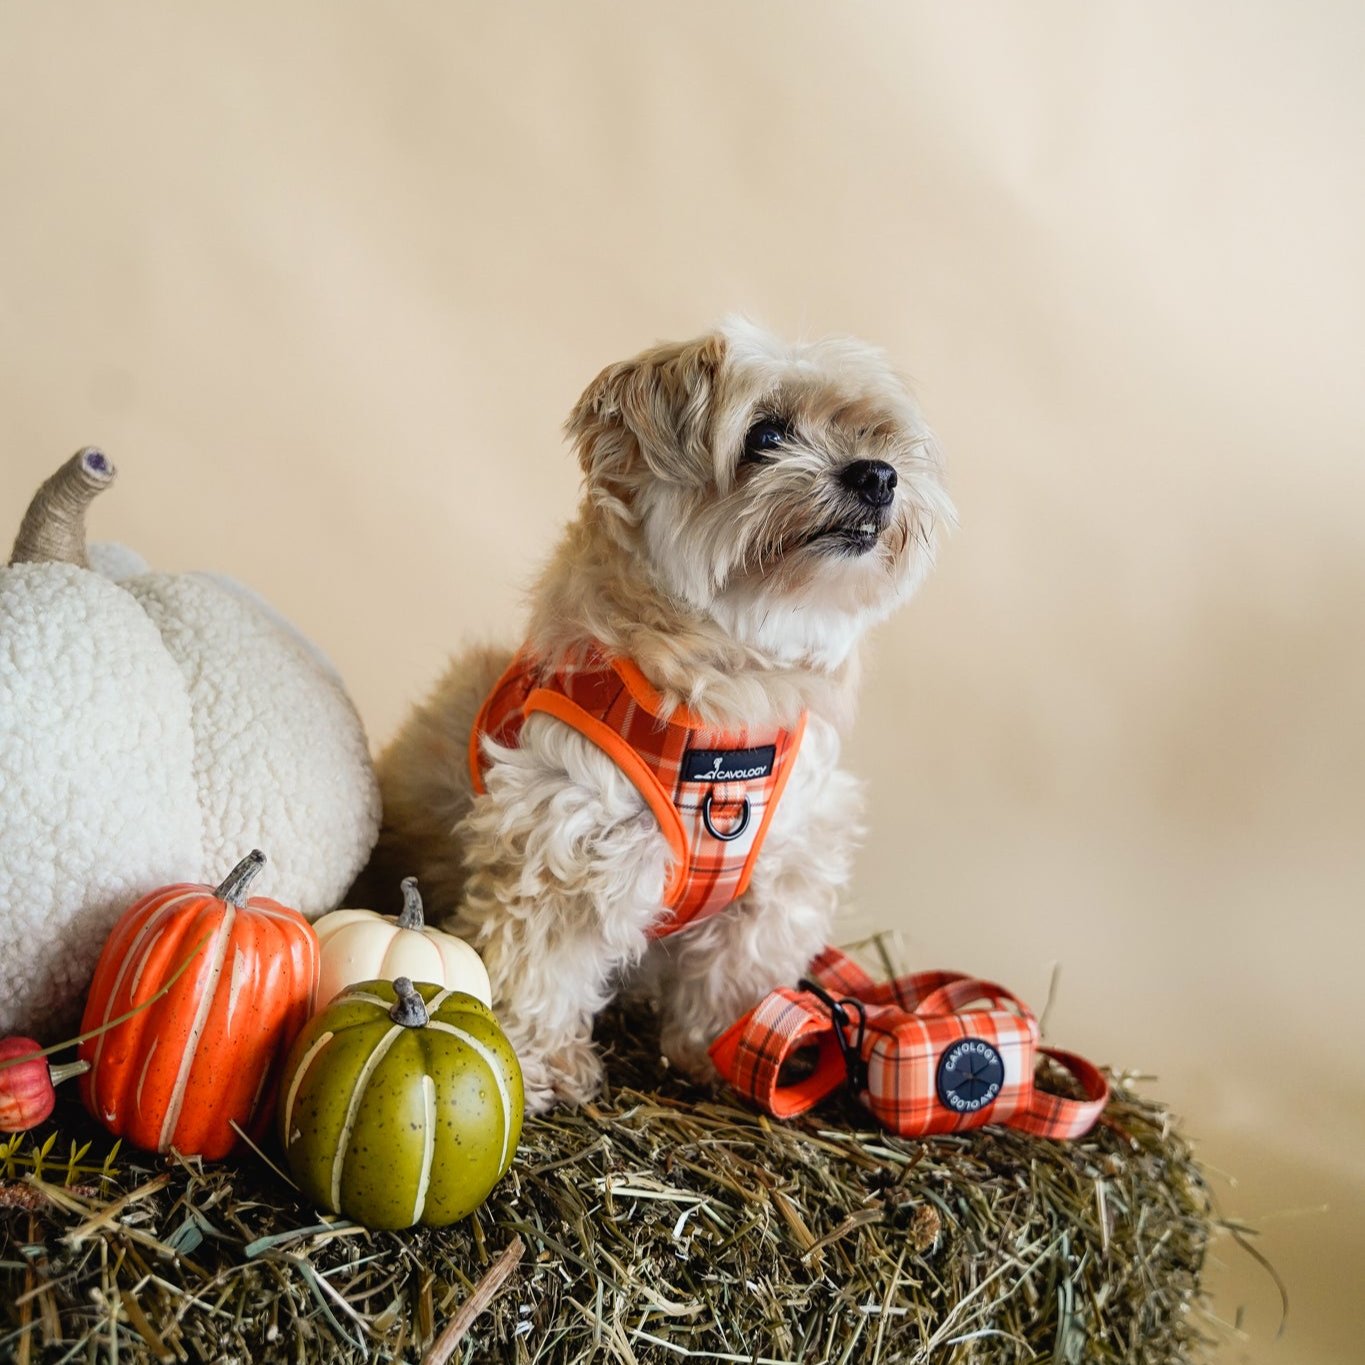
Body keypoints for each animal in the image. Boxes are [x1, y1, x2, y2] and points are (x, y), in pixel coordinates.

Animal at [368, 319, 955, 1108]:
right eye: (765, 434)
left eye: (875, 434)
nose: (878, 475)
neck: (732, 681)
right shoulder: (567, 841)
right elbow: (545, 966)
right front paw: (542, 1063)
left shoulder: (780, 873)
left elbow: (735, 975)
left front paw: (730, 1055)